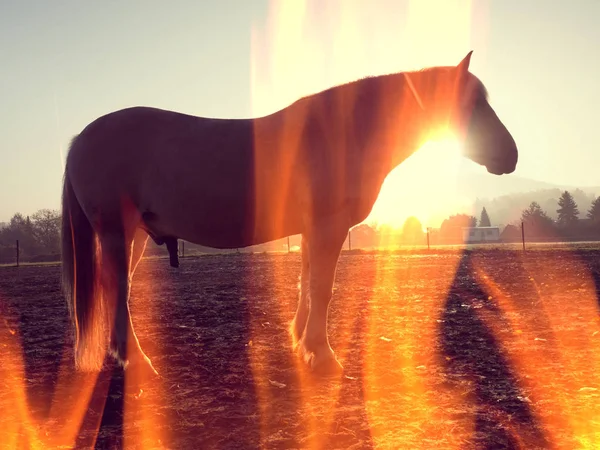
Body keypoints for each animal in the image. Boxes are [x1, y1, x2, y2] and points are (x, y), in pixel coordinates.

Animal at [62, 51, 520, 378]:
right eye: (470, 104)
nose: (511, 156)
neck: (343, 133)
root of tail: (82, 137)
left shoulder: (310, 231)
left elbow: (306, 283)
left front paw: (302, 343)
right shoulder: (328, 228)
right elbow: (322, 288)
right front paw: (322, 355)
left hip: (135, 236)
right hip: (117, 233)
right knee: (117, 291)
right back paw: (137, 361)